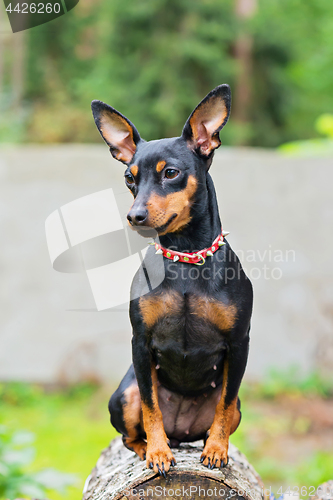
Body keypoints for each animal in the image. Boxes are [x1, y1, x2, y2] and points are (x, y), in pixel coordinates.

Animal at [91, 85, 252, 476]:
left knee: (223, 411)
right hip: (125, 393)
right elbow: (152, 408)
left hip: (238, 407)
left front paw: (217, 451)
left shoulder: (239, 343)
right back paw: (150, 448)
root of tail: (181, 432)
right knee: (131, 433)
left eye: (171, 173)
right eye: (129, 178)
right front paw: (159, 453)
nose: (134, 216)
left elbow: (224, 405)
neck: (185, 260)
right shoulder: (141, 342)